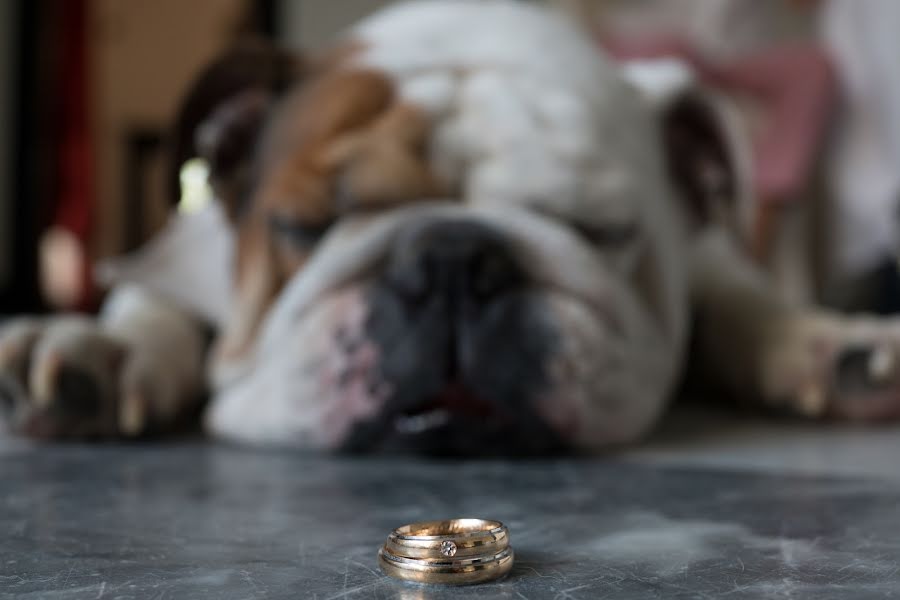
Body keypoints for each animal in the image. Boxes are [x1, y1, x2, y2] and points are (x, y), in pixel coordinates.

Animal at [1, 0, 900, 450]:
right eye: (301, 224)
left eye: (601, 229)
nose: (458, 260)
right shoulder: (179, 256)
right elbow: (149, 304)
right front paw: (100, 352)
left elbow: (740, 303)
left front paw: (824, 344)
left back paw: (836, 351)